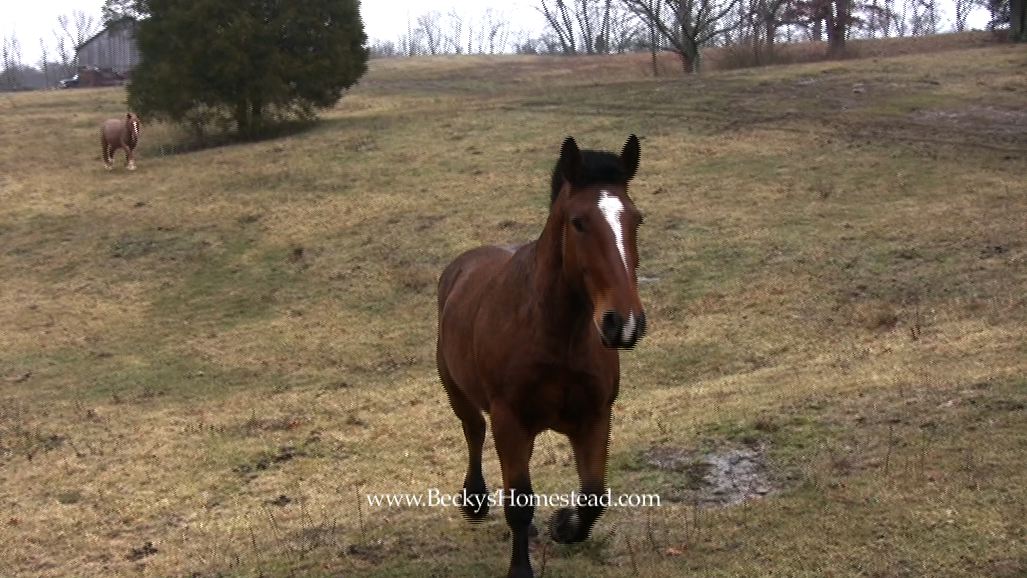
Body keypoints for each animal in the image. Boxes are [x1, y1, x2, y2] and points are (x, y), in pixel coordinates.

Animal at [437, 134, 644, 578]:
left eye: (636, 220)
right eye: (579, 222)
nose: (624, 323)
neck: (557, 333)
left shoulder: (595, 415)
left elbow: (594, 495)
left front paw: (564, 525)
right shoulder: (509, 419)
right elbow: (519, 501)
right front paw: (521, 567)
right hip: (459, 393)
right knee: (473, 432)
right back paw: (475, 500)